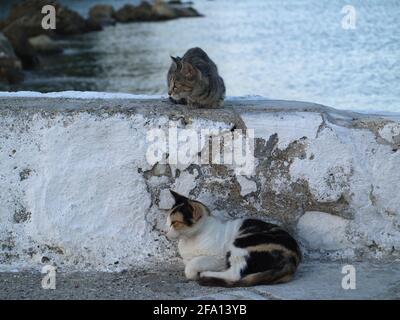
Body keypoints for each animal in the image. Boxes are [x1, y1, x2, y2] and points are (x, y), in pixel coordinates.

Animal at [165, 190, 300, 288]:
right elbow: (188, 262)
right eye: (167, 221)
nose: (164, 232)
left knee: (234, 274)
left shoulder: (219, 258)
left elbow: (194, 262)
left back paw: (205, 274)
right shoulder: (187, 258)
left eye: (174, 223)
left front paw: (192, 273)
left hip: (240, 244)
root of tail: (293, 259)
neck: (190, 240)